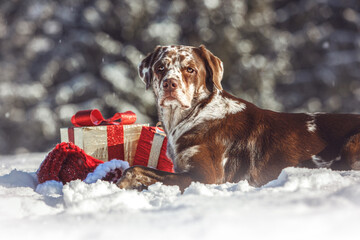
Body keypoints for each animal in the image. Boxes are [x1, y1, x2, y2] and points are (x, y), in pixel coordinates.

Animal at [116, 44, 360, 191]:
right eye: (160, 67)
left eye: (190, 69)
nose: (169, 84)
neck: (194, 115)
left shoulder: (205, 176)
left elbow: (136, 169)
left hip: (352, 142)